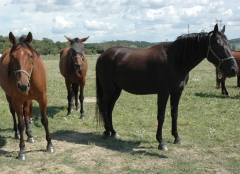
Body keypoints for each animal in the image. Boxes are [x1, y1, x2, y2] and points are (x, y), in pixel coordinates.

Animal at [0, 32, 54, 160]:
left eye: (30, 56)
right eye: (12, 57)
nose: (23, 85)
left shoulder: (42, 99)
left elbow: (44, 120)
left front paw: (50, 145)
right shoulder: (16, 100)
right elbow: (21, 124)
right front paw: (22, 151)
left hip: (28, 99)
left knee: (26, 112)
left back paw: (30, 136)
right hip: (9, 97)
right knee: (14, 114)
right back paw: (17, 134)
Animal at [95, 24, 238, 151]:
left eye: (229, 45)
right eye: (219, 45)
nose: (234, 70)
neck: (175, 60)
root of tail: (102, 56)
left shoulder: (177, 92)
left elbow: (174, 114)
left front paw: (177, 138)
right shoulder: (163, 93)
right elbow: (161, 116)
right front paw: (161, 142)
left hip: (117, 90)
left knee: (109, 108)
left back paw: (113, 132)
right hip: (109, 89)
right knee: (103, 106)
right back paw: (106, 131)